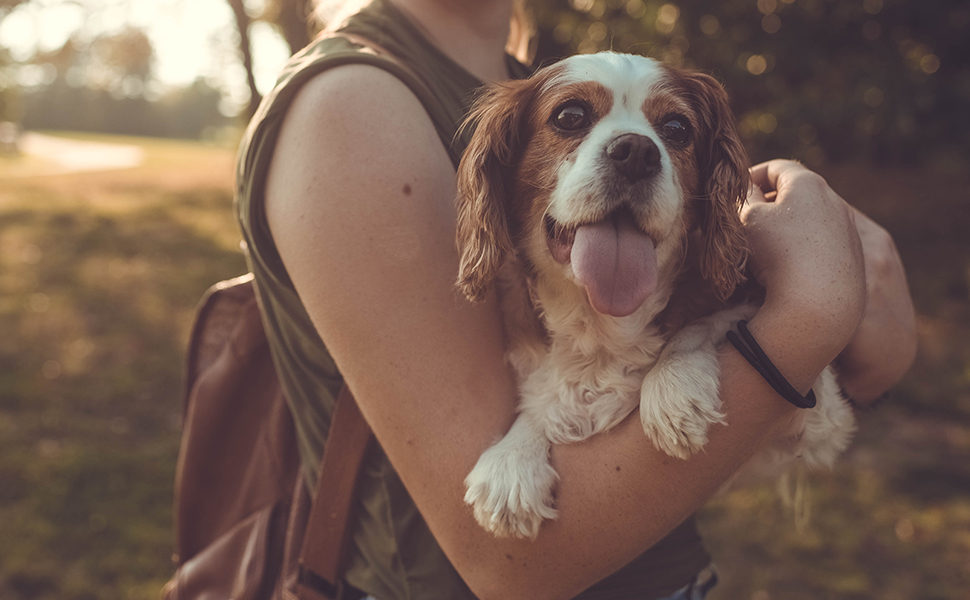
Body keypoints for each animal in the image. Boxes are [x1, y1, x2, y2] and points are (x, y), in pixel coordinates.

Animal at [454, 51, 856, 540]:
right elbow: (544, 399)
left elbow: (708, 322)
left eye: (677, 127)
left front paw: (673, 386)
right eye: (570, 116)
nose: (636, 152)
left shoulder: (820, 422)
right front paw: (513, 458)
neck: (602, 324)